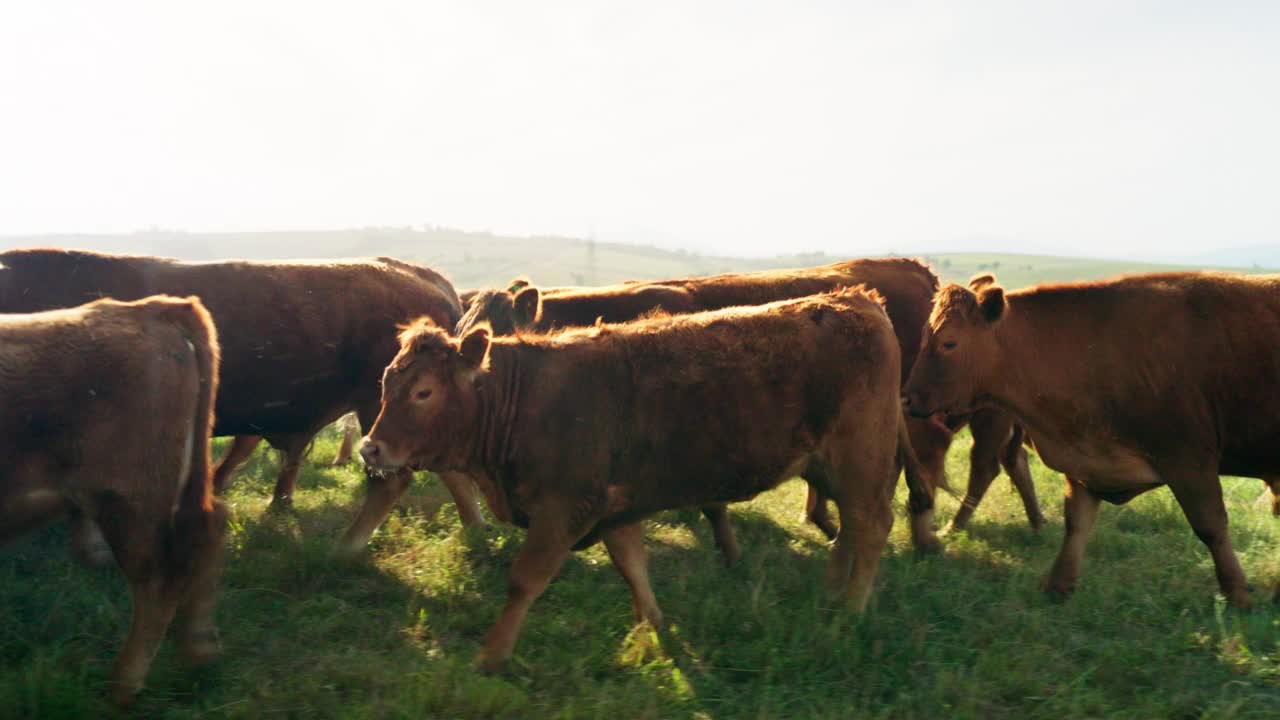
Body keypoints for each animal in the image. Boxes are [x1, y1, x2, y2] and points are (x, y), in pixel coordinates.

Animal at [0, 294, 225, 702]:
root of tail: (151, 308)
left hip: (128, 504)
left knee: (159, 580)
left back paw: (121, 686)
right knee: (209, 530)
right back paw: (198, 651)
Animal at [360, 288, 931, 671]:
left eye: (424, 392)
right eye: (387, 380)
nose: (370, 447)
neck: (525, 397)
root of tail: (858, 301)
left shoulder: (562, 510)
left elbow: (524, 581)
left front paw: (491, 656)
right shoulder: (615, 509)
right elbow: (633, 567)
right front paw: (655, 629)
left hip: (859, 459)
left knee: (871, 524)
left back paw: (851, 609)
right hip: (827, 465)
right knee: (849, 529)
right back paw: (832, 591)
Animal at [901, 271, 1280, 602]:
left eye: (949, 342)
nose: (906, 398)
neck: (1094, 351)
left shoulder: (1189, 462)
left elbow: (1211, 526)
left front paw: (1237, 593)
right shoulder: (1084, 461)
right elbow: (1076, 525)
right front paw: (1058, 586)